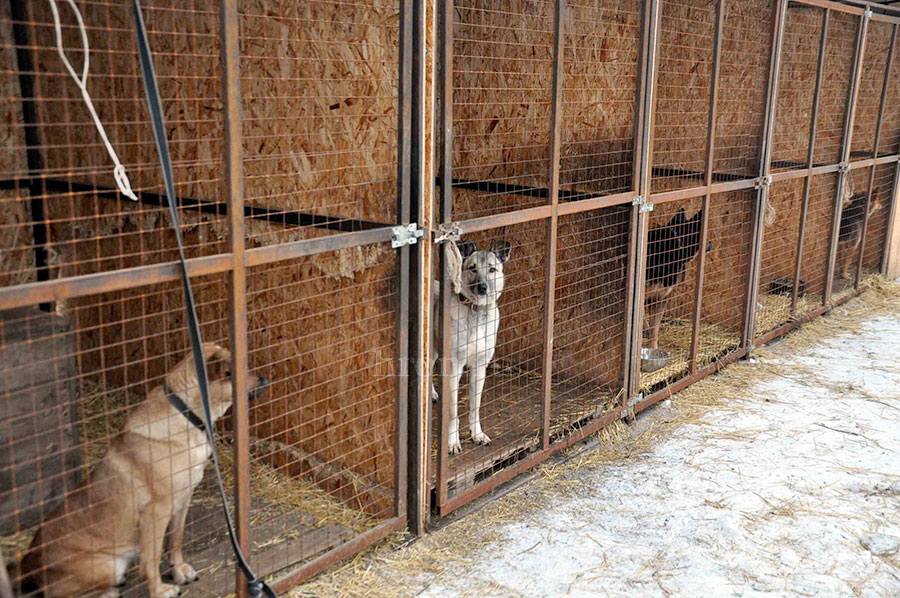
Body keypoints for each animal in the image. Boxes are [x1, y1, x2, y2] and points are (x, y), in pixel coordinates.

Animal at [430, 239, 510, 454]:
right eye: (472, 268)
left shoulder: (479, 367)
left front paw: (477, 434)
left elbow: (475, 407)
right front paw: (452, 441)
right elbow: (453, 413)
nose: (483, 287)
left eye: (492, 269)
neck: (476, 310)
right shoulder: (454, 368)